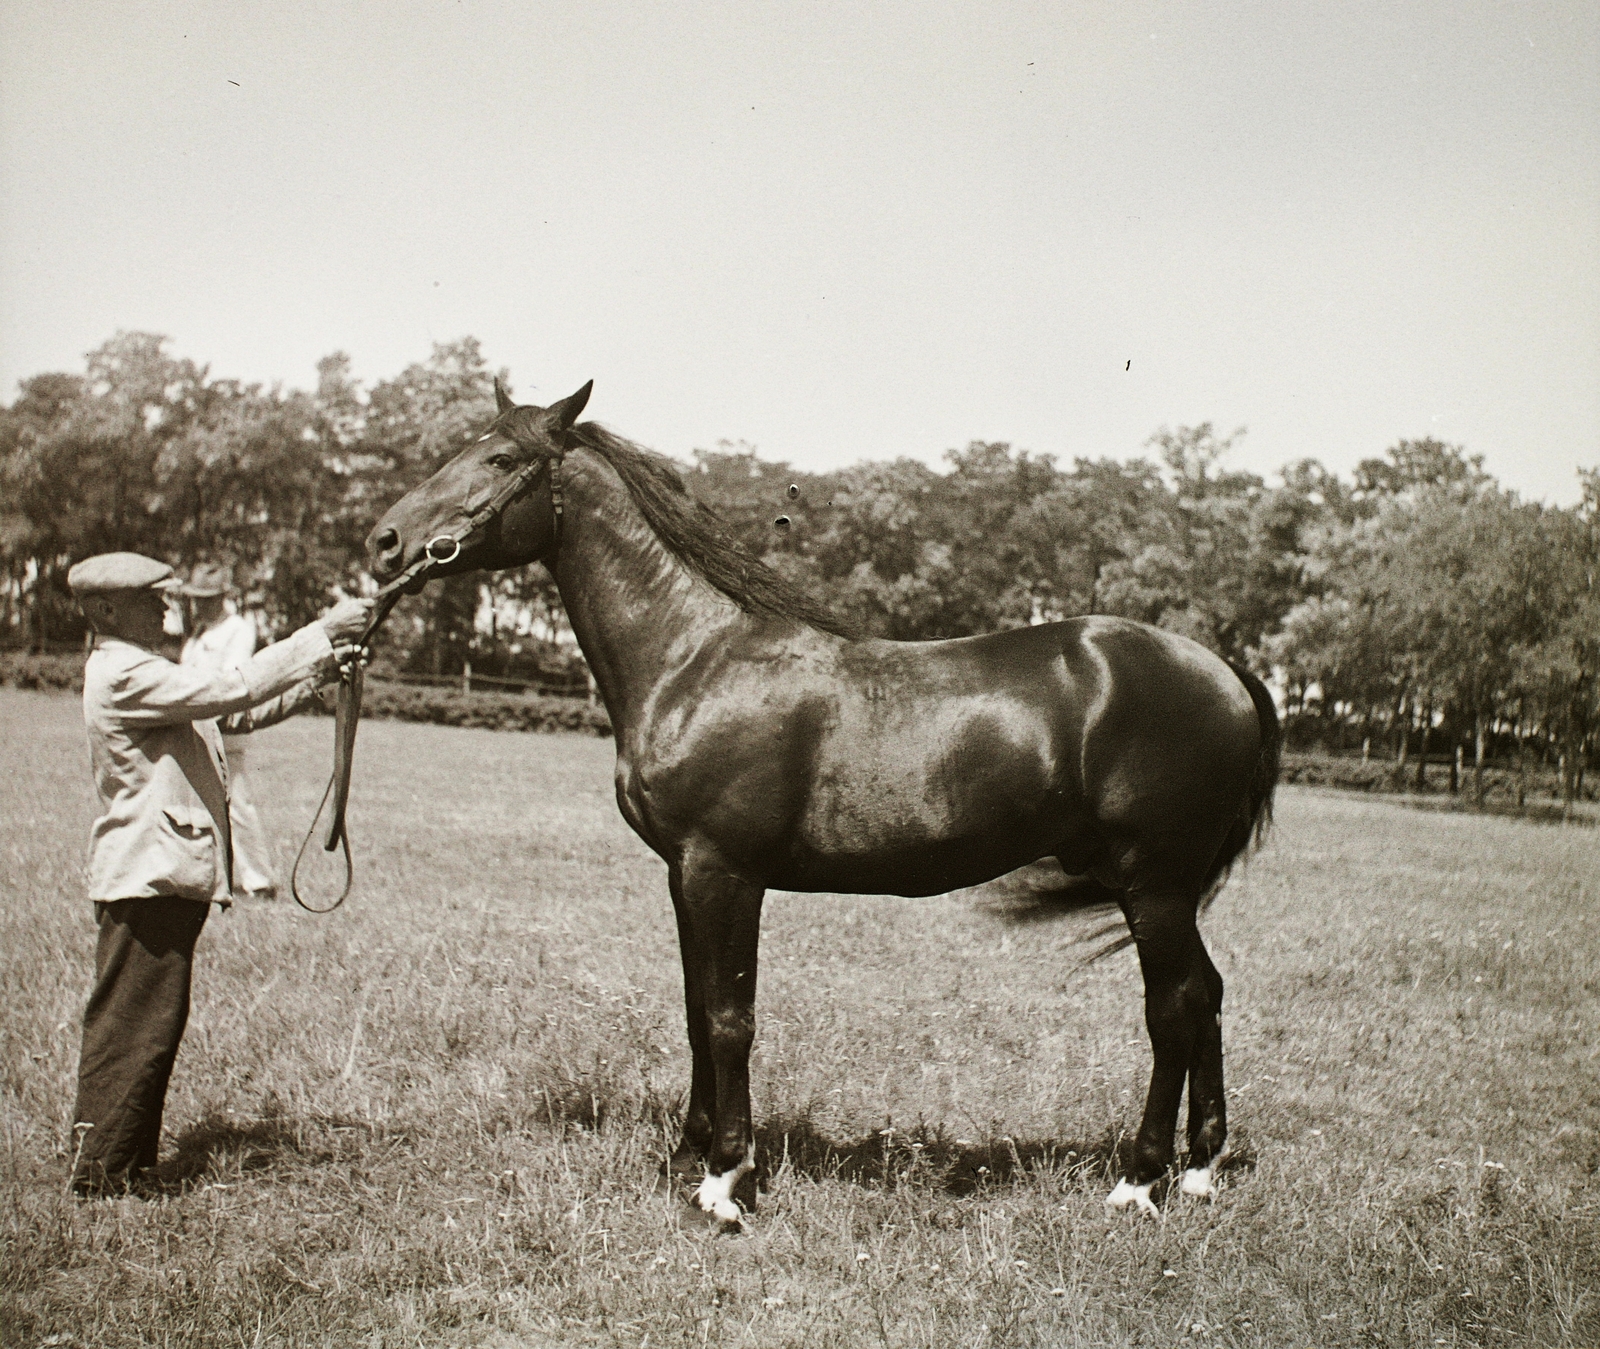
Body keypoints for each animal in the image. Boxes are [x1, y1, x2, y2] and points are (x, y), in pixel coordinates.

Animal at [368, 377, 1280, 1222]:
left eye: (499, 459)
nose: (384, 541)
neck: (697, 656)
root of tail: (1224, 674)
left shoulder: (724, 873)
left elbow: (730, 1016)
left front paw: (725, 1179)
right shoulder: (683, 874)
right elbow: (696, 1010)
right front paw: (688, 1152)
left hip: (1153, 885)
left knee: (1174, 1008)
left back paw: (1139, 1179)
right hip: (1164, 891)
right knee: (1207, 995)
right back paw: (1199, 1168)